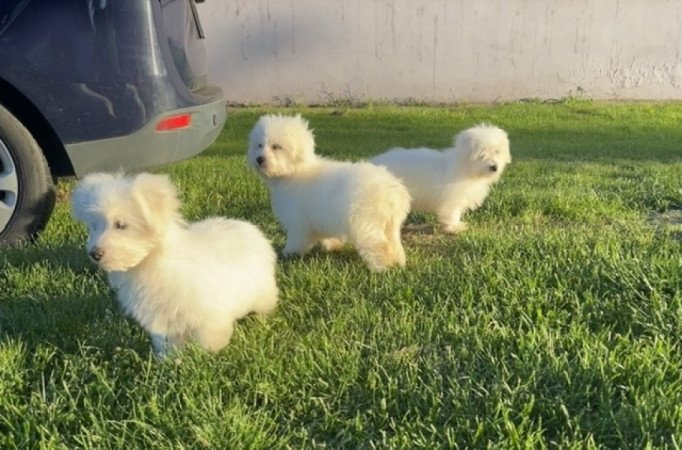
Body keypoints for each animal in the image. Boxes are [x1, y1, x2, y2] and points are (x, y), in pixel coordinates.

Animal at [70, 173, 278, 358]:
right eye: (94, 226)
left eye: (121, 225)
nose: (94, 254)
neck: (154, 260)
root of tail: (250, 228)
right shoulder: (161, 315)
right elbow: (166, 340)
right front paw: (168, 359)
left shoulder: (207, 314)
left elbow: (207, 336)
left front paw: (208, 355)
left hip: (262, 288)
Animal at [248, 115, 410, 270]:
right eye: (259, 145)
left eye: (276, 147)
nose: (259, 159)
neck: (295, 171)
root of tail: (391, 192)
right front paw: (332, 246)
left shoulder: (298, 221)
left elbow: (296, 240)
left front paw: (289, 253)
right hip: (390, 226)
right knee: (393, 243)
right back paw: (399, 262)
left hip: (366, 224)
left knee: (380, 246)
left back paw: (383, 268)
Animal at [372, 124, 510, 234]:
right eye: (482, 154)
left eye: (497, 152)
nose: (494, 167)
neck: (465, 167)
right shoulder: (452, 198)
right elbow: (453, 213)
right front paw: (454, 228)